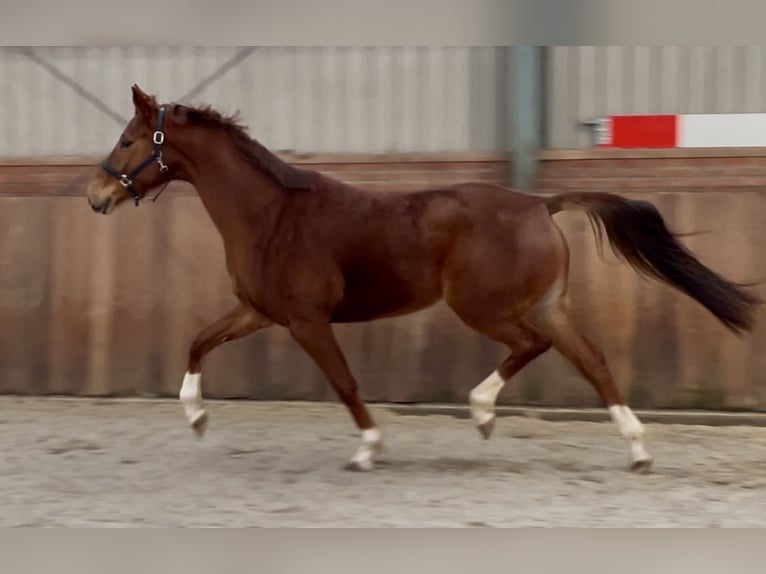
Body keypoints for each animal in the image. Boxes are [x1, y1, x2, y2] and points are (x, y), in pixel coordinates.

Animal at [85, 84, 760, 472]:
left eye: (128, 140)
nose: (95, 196)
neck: (272, 215)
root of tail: (539, 204)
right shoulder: (259, 311)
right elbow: (198, 341)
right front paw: (196, 418)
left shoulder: (305, 320)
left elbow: (344, 382)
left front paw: (369, 448)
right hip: (545, 305)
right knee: (589, 358)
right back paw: (637, 449)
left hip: (484, 306)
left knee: (533, 346)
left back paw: (484, 413)